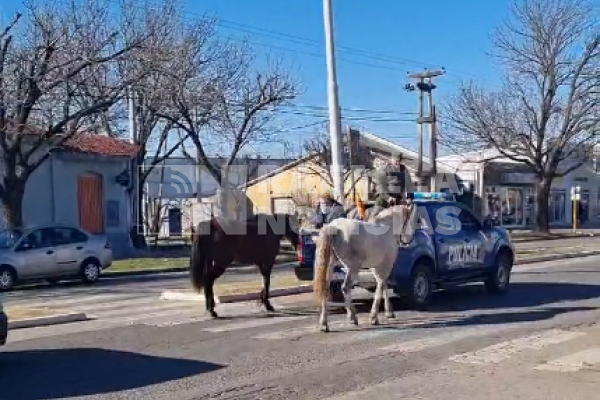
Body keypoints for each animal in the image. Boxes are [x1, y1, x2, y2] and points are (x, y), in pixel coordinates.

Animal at [312, 203, 414, 332]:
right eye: (409, 219)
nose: (410, 238)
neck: (387, 229)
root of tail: (334, 227)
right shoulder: (386, 265)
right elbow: (381, 285)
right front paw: (374, 317)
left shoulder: (375, 267)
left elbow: (383, 284)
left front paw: (389, 312)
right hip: (352, 268)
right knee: (346, 288)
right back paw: (352, 317)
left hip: (330, 267)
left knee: (326, 289)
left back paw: (324, 324)